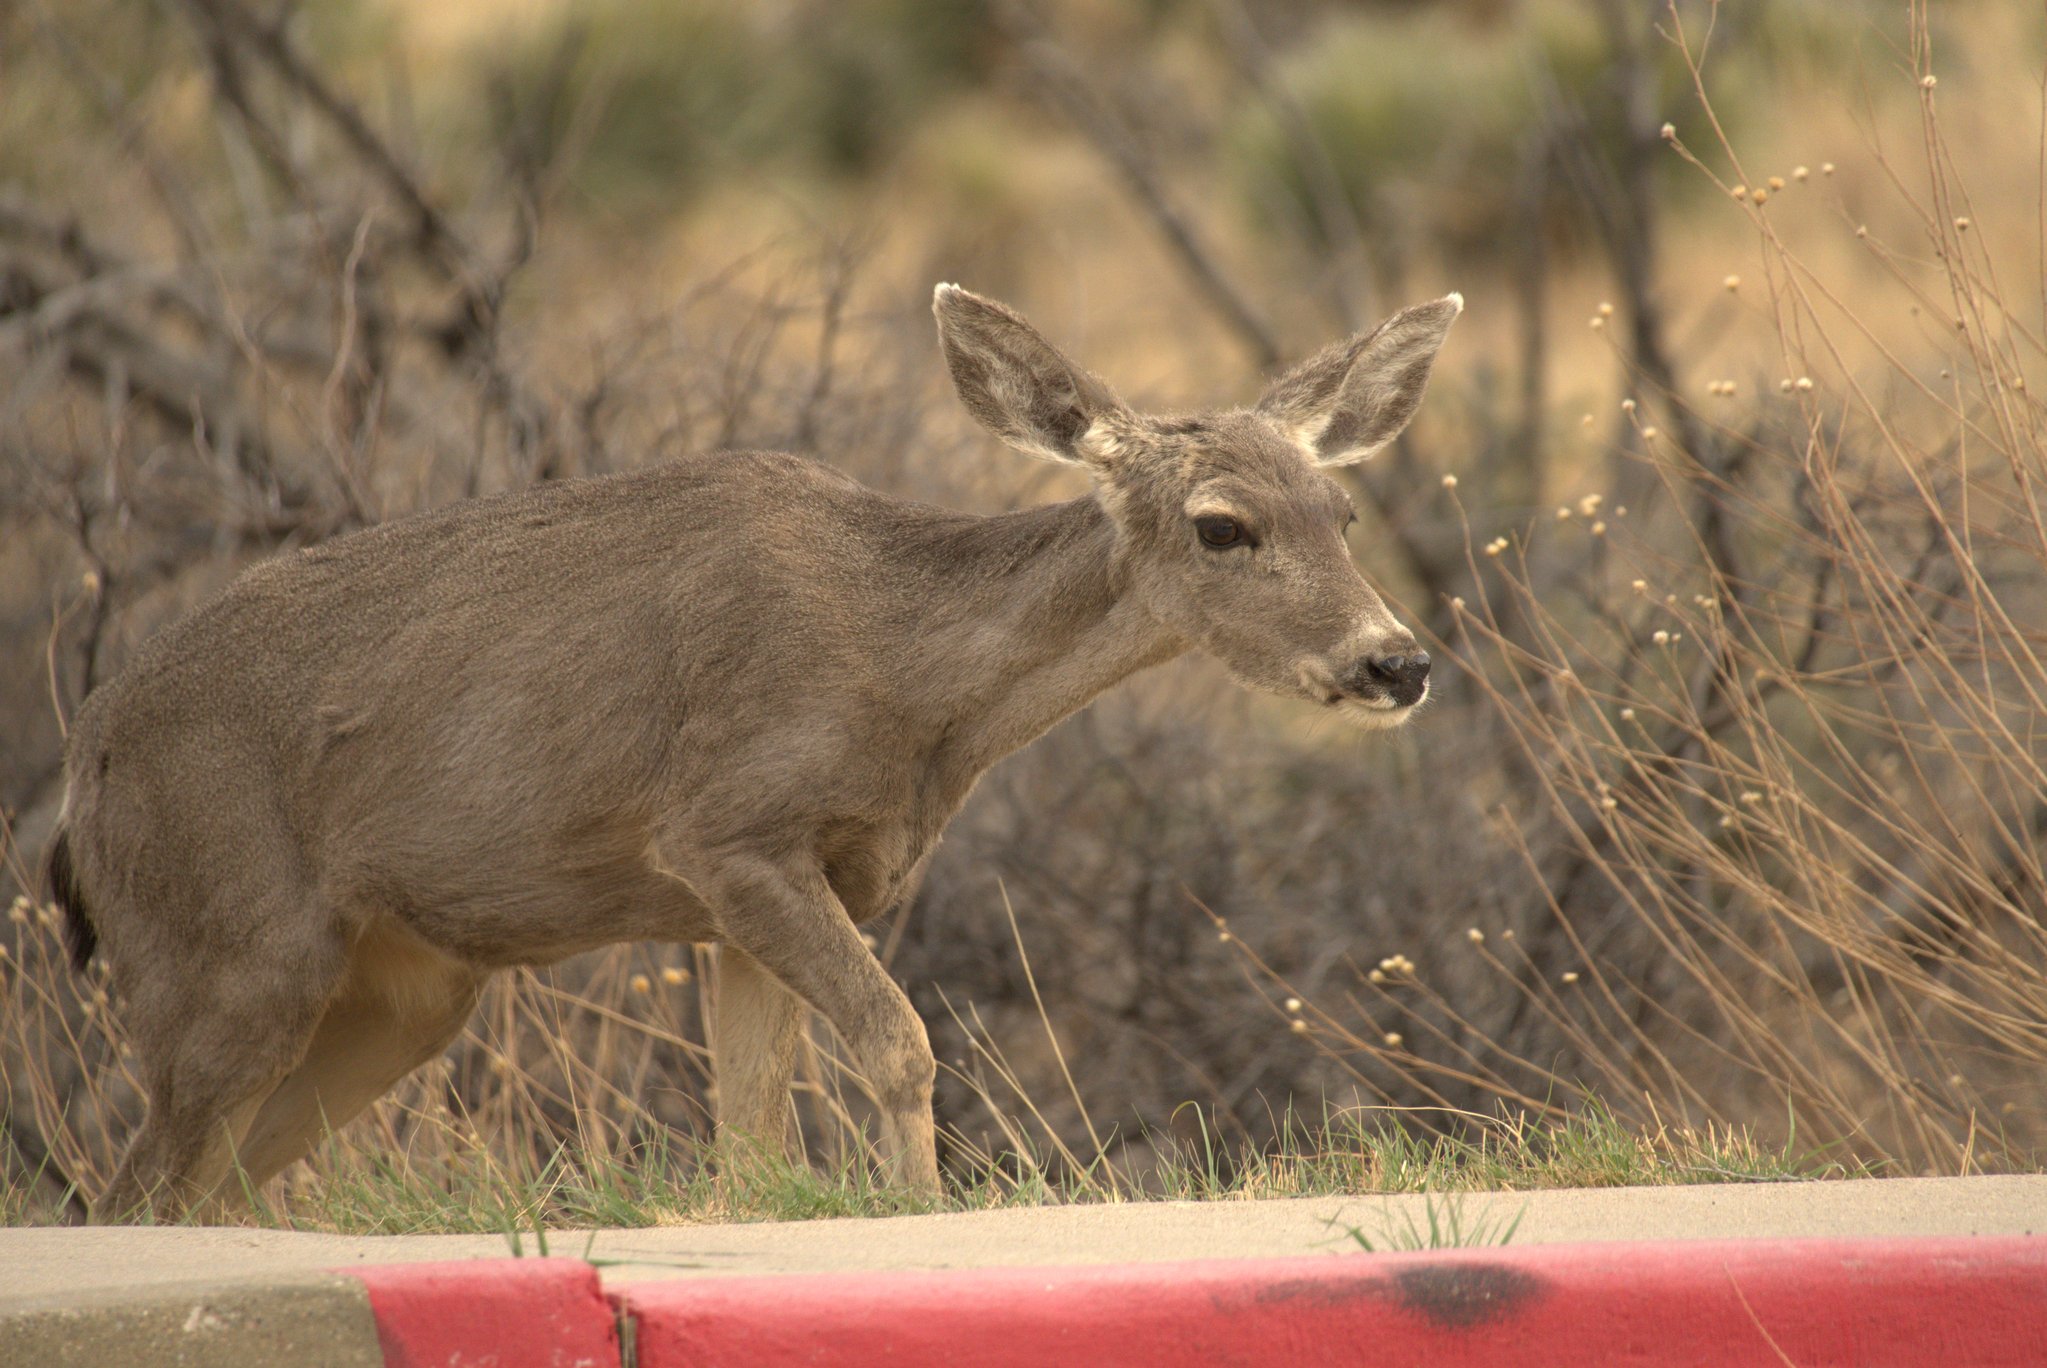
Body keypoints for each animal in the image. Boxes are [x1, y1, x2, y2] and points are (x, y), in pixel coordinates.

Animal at [44, 283, 1460, 1221]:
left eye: (1338, 511)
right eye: (1223, 526)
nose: (1396, 661)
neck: (903, 673)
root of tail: (81, 778)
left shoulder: (753, 899)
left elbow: (755, 1142)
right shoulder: (727, 829)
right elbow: (899, 1045)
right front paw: (922, 1214)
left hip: (400, 988)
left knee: (199, 1188)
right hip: (225, 943)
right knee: (133, 1190)